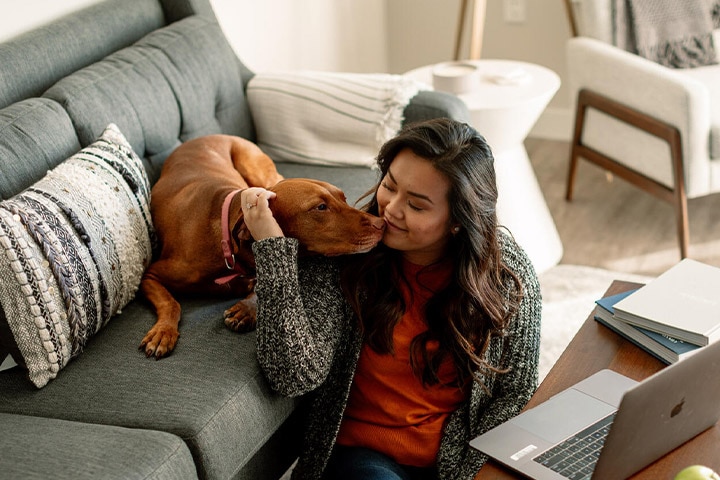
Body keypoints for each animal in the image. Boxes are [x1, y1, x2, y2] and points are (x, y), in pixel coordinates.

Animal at [142, 133, 388, 358]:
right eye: (320, 207)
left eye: (344, 198)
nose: (381, 224)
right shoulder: (150, 275)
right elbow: (172, 303)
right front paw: (164, 331)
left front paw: (246, 310)